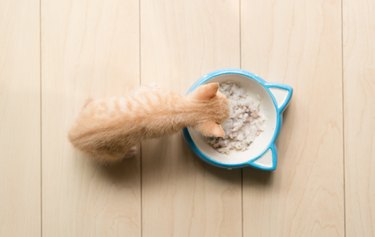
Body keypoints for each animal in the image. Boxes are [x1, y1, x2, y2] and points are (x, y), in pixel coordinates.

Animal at [69, 82, 231, 162]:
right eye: (224, 97)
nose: (230, 108)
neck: (183, 108)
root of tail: (72, 138)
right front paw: (153, 85)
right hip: (112, 153)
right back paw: (130, 152)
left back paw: (88, 101)